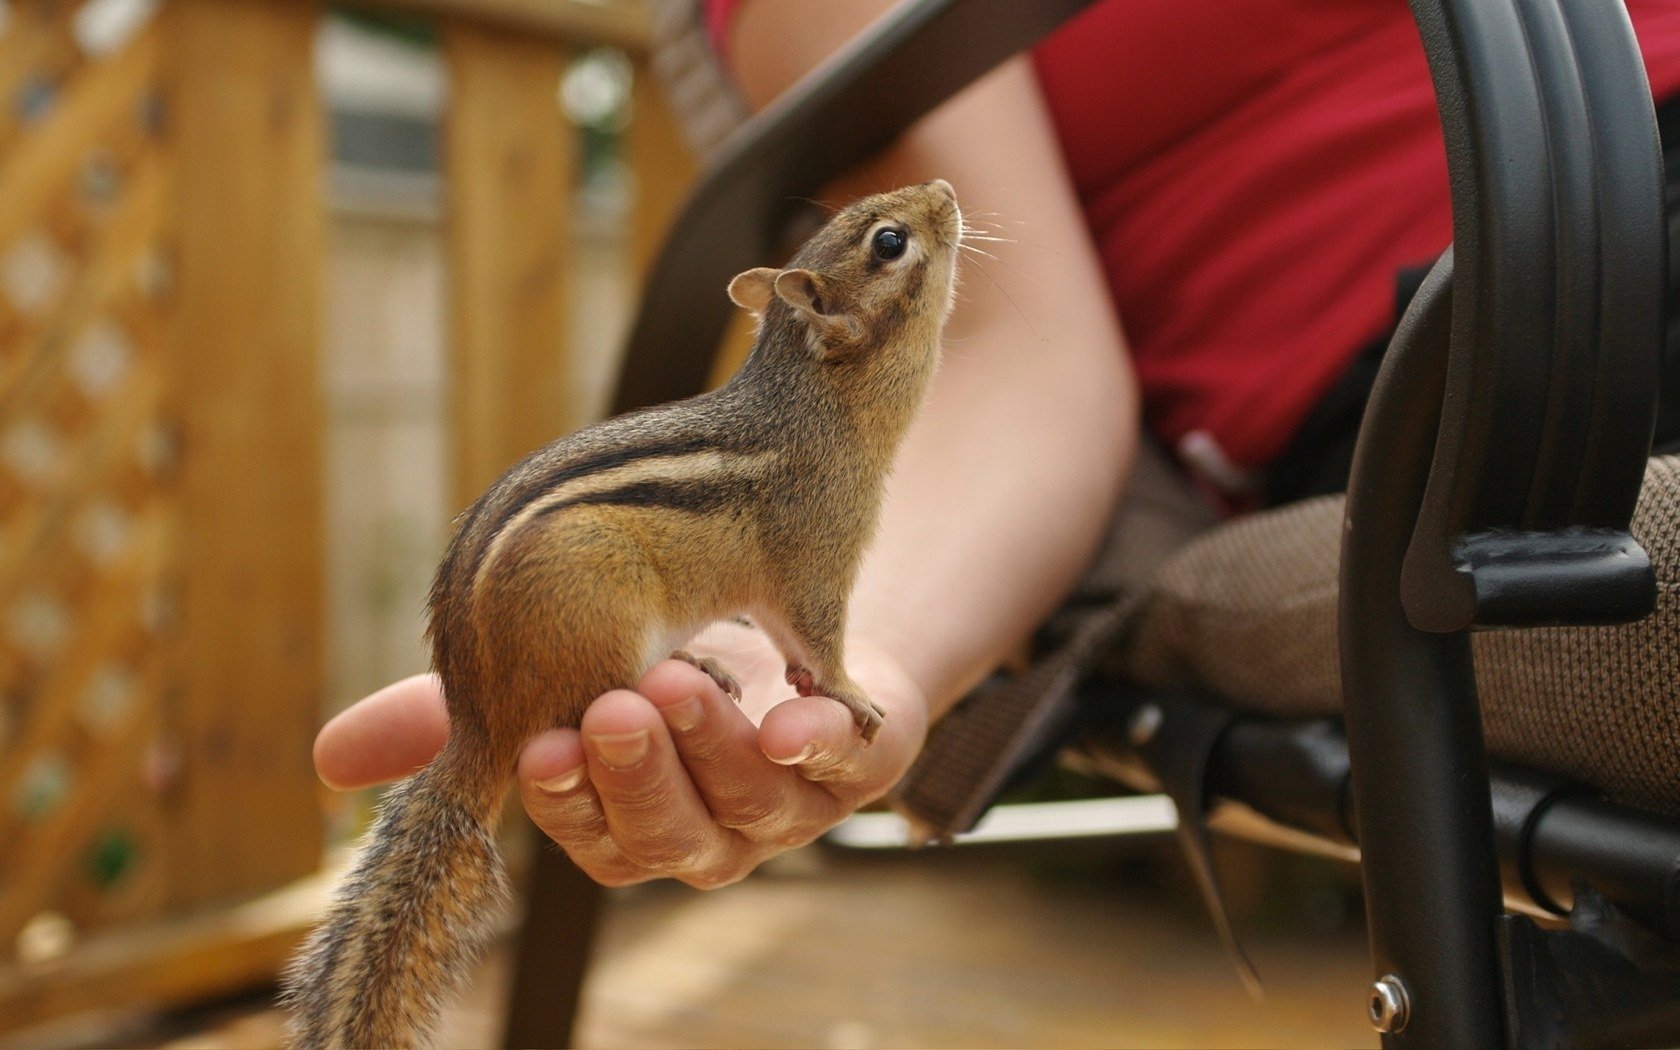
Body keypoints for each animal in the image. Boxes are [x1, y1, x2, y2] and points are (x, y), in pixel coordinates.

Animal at [281, 180, 963, 1049]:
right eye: (889, 242)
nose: (943, 190)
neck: (815, 404)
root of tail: (478, 718)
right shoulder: (817, 555)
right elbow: (816, 632)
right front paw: (848, 693)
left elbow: (789, 637)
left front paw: (812, 682)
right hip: (598, 608)